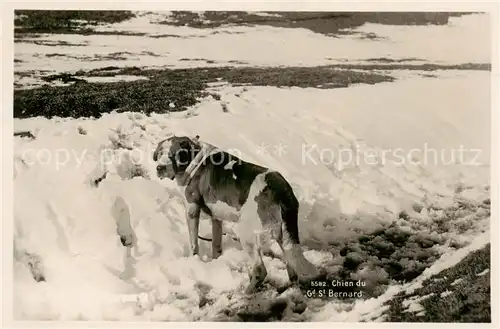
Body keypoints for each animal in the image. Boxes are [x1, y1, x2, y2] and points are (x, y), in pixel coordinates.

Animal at [152, 134, 320, 292]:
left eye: (173, 155)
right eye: (160, 153)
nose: (159, 168)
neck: (195, 159)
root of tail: (280, 190)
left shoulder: (191, 209)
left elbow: (194, 242)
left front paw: (194, 260)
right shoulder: (216, 217)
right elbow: (216, 244)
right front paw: (216, 261)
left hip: (246, 234)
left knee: (260, 270)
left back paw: (248, 292)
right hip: (284, 237)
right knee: (291, 264)